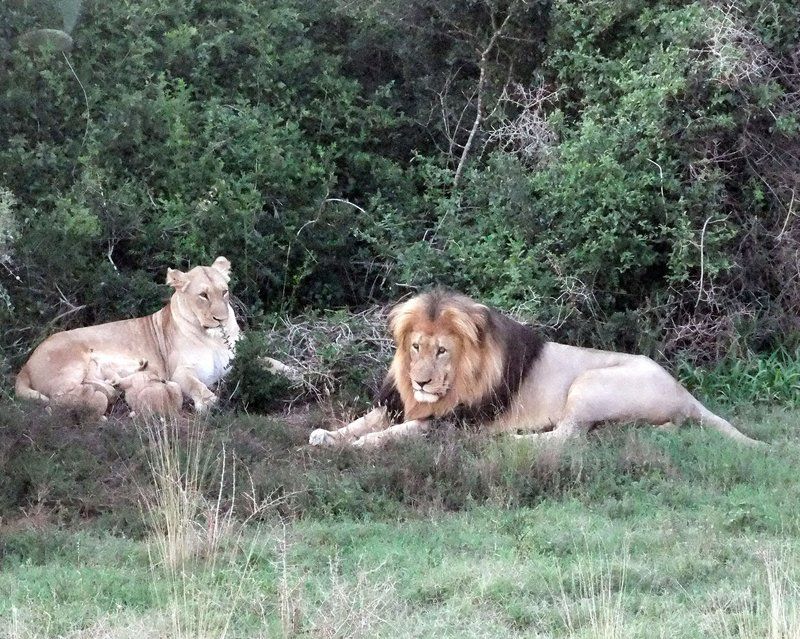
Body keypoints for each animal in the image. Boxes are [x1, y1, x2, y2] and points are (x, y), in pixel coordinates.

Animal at [15, 255, 239, 420]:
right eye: (203, 295)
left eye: (224, 292)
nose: (221, 319)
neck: (213, 339)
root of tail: (26, 364)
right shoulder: (178, 372)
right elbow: (195, 384)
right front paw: (208, 401)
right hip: (71, 366)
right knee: (59, 398)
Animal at [308, 292, 764, 448]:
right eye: (416, 347)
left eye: (442, 351)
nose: (420, 381)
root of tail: (685, 392)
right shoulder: (402, 406)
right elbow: (363, 421)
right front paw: (326, 435)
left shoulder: (450, 423)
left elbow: (391, 435)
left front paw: (356, 446)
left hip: (588, 383)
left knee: (567, 438)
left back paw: (513, 442)